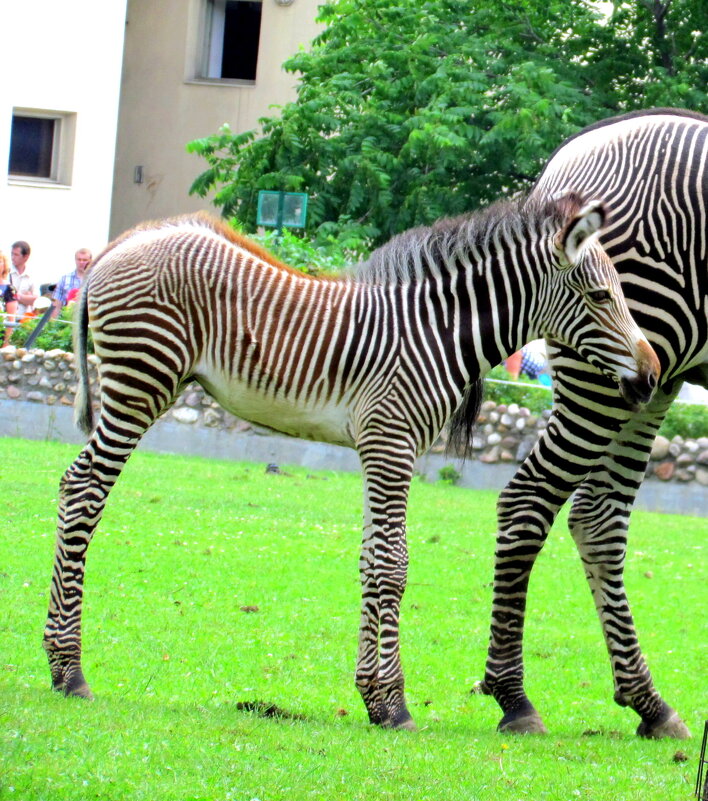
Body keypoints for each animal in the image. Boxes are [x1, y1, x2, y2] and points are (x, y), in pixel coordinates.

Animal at [47, 195, 660, 732]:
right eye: (601, 296)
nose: (653, 376)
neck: (437, 333)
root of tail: (122, 244)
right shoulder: (392, 442)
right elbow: (393, 564)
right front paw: (393, 704)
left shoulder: (381, 448)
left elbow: (371, 560)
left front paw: (373, 697)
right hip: (140, 382)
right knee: (83, 490)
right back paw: (68, 671)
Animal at [482, 106, 704, 736]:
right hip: (610, 368)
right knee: (530, 499)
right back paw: (515, 698)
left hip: (651, 379)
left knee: (599, 518)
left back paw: (651, 704)